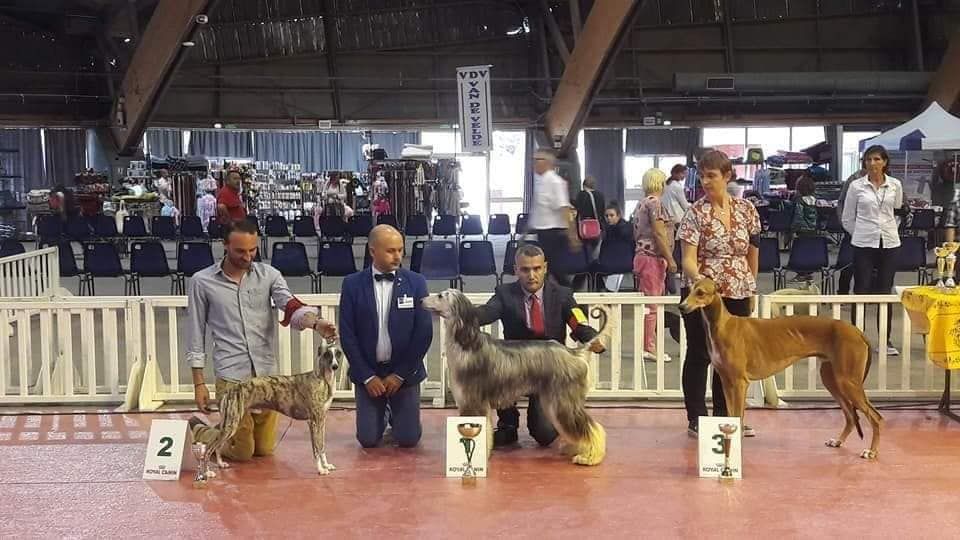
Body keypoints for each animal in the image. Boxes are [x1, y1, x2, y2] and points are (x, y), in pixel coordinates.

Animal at [206, 344, 344, 474]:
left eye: (338, 353)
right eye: (327, 354)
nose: (335, 366)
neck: (322, 380)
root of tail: (230, 391)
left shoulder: (321, 421)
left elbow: (322, 446)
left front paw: (326, 465)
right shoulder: (314, 422)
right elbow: (316, 449)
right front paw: (320, 469)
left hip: (229, 424)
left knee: (217, 447)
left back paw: (220, 464)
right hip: (230, 425)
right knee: (209, 447)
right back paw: (207, 472)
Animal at [680, 278, 880, 460]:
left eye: (700, 293)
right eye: (689, 290)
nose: (682, 307)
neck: (723, 325)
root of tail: (858, 332)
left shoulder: (739, 384)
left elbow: (738, 416)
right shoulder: (727, 383)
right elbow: (731, 416)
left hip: (848, 382)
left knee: (876, 417)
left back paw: (871, 452)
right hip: (832, 380)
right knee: (850, 416)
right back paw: (838, 441)